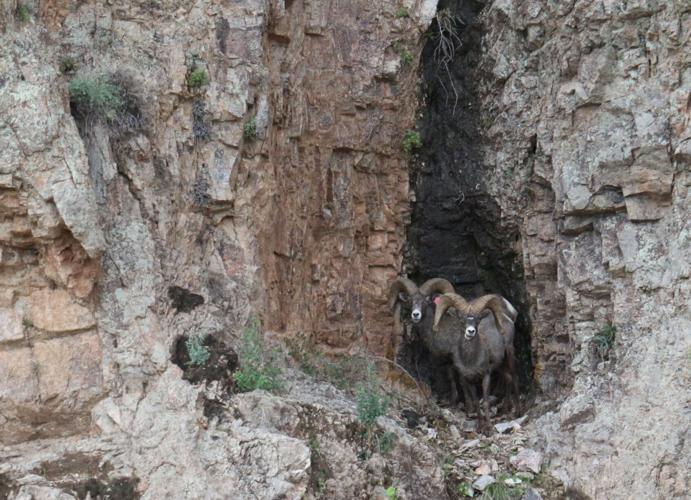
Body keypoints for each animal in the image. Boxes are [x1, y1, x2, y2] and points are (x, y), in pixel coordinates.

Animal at [433, 292, 520, 429]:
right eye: (461, 320)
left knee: (515, 377)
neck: (470, 360)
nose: (470, 331)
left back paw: (517, 412)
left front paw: (489, 428)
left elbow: (485, 402)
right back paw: (505, 411)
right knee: (508, 378)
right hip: (500, 365)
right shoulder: (468, 380)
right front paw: (480, 425)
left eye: (478, 320)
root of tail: (507, 319)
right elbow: (476, 402)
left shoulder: (486, 376)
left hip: (510, 353)